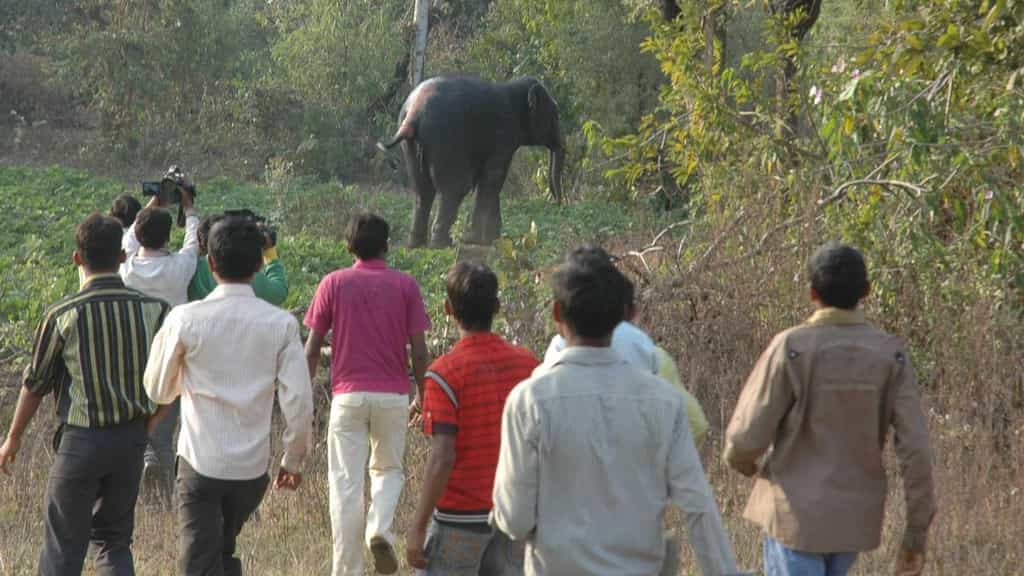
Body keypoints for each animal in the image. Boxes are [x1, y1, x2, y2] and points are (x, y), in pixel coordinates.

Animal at [378, 76, 565, 248]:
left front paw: (493, 240)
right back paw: (443, 244)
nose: (557, 203)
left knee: (422, 191)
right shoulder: (503, 134)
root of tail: (413, 114)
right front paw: (480, 241)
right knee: (456, 187)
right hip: (445, 137)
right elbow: (493, 179)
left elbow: (486, 180)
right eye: (556, 115)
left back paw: (416, 245)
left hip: (410, 144)